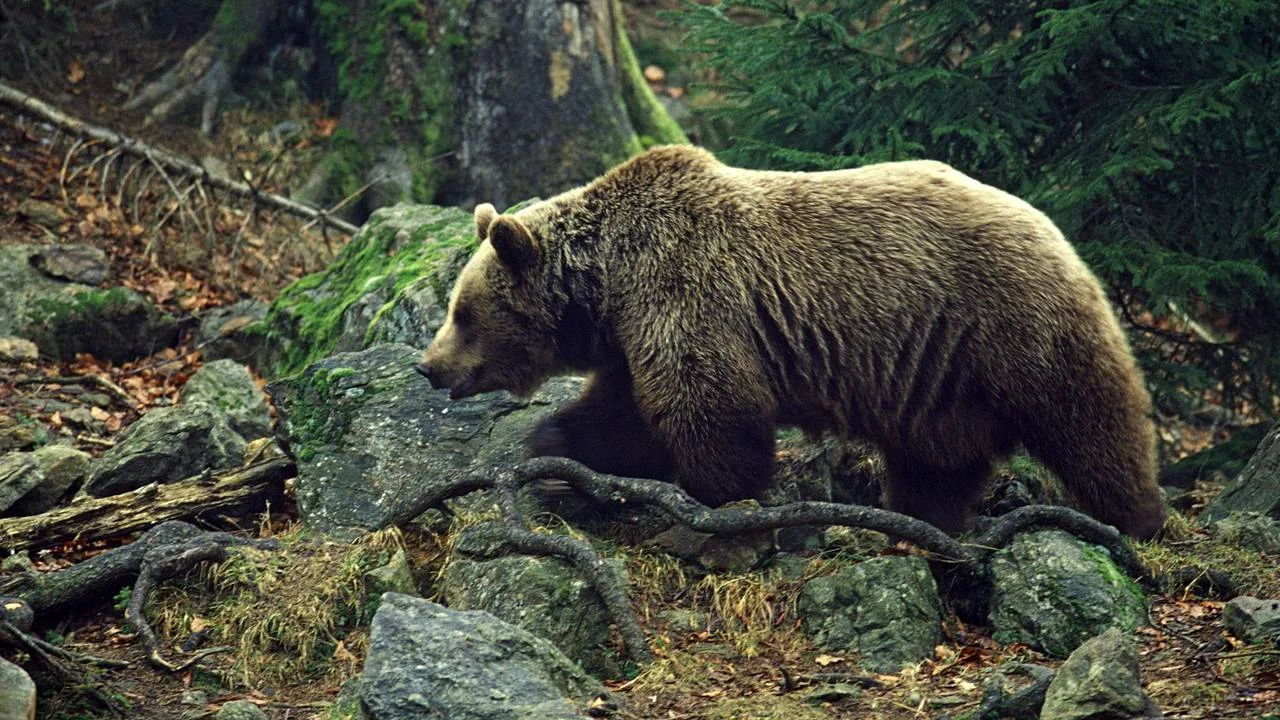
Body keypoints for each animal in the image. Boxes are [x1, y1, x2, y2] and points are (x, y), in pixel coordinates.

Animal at [415, 145, 1167, 540]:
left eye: (463, 311)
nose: (429, 366)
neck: (609, 287)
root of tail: (1059, 231)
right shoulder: (636, 338)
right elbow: (620, 416)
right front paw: (551, 454)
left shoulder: (688, 296)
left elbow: (712, 411)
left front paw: (716, 497)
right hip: (937, 380)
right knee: (937, 459)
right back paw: (921, 516)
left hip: (1010, 326)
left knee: (1090, 423)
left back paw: (1136, 521)